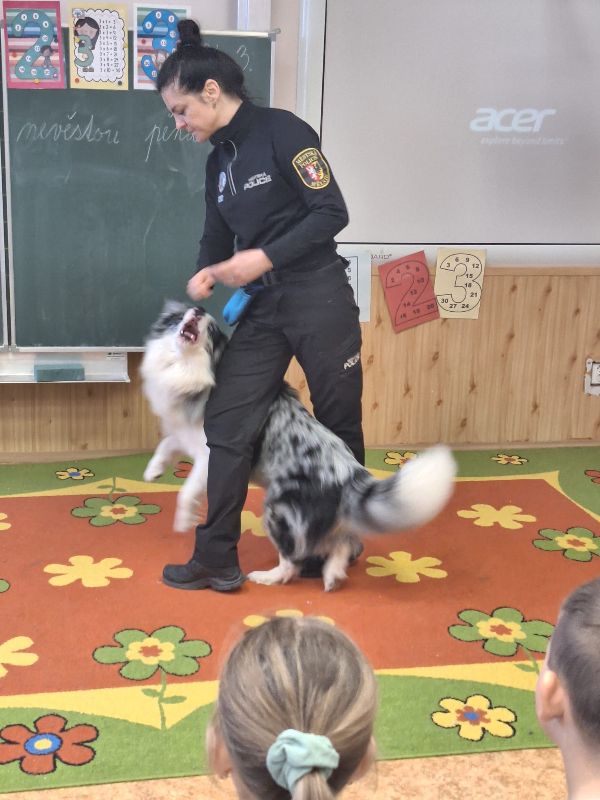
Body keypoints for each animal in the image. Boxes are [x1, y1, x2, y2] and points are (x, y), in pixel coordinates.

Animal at [141, 301, 456, 591]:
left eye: (213, 331)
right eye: (179, 316)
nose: (199, 308)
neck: (187, 369)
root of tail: (349, 474)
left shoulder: (210, 452)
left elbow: (188, 489)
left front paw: (184, 519)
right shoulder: (182, 430)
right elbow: (167, 443)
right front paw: (152, 472)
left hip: (279, 510)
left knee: (292, 561)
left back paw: (266, 577)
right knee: (342, 542)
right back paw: (332, 574)